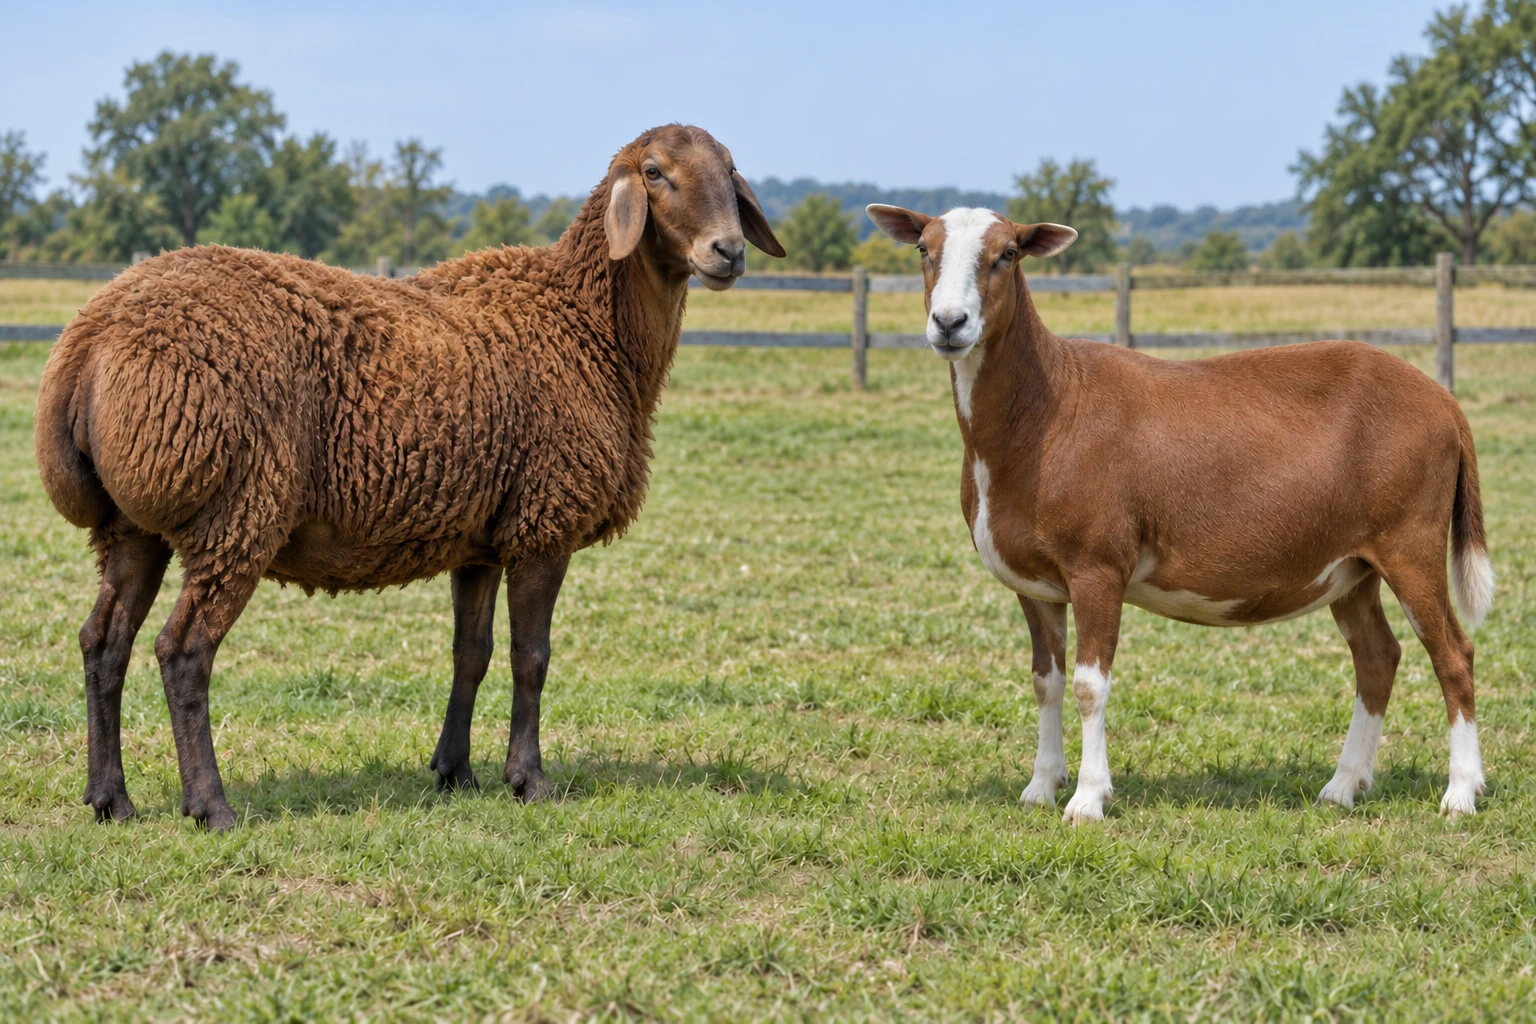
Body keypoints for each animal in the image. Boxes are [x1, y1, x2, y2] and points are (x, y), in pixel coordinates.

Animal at [35, 124, 785, 830]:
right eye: (655, 173)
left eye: (729, 171)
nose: (728, 252)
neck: (589, 325)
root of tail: (90, 342)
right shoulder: (544, 522)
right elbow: (531, 657)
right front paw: (529, 780)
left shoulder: (482, 539)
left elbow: (471, 653)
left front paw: (455, 771)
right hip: (236, 514)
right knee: (184, 651)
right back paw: (210, 806)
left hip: (134, 526)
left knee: (105, 642)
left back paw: (110, 800)